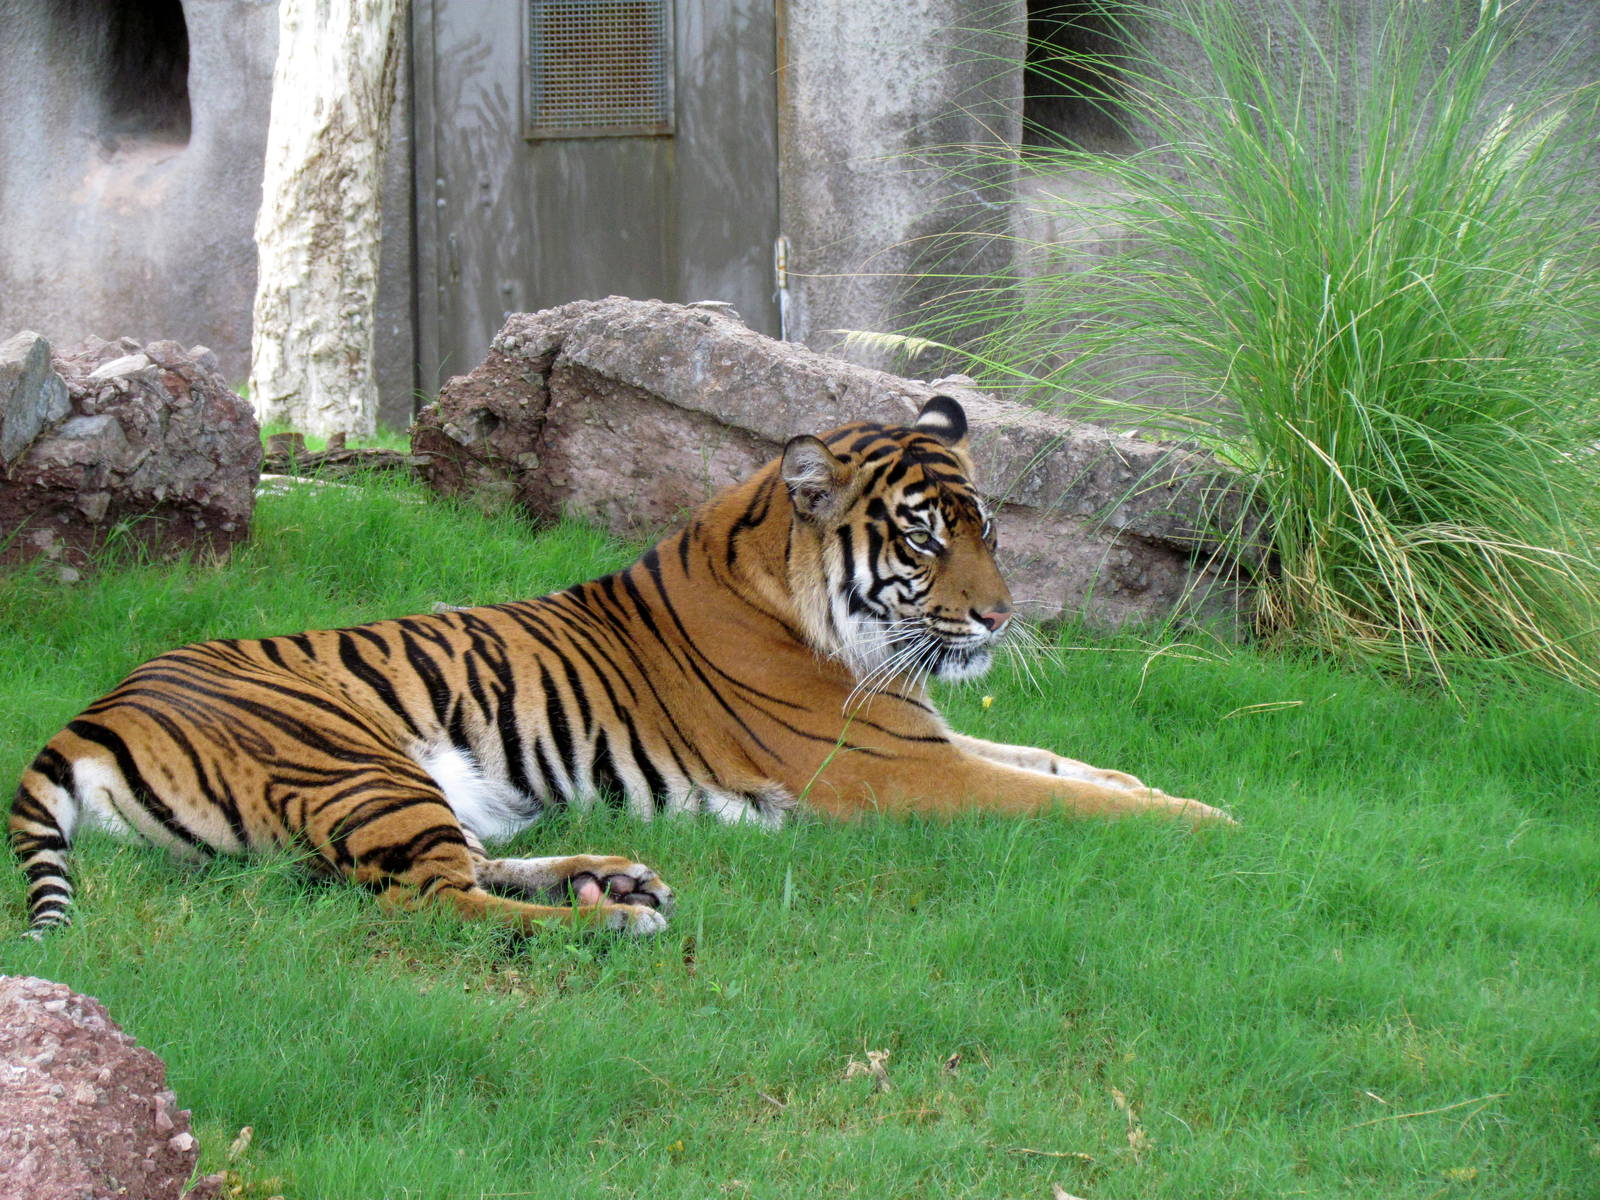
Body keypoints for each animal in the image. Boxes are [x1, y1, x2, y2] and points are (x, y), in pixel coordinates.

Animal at [9, 395, 1230, 938]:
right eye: (927, 538)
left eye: (991, 531)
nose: (1000, 617)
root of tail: (91, 710)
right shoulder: (902, 770)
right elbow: (1066, 798)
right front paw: (1216, 827)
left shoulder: (930, 733)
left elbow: (1073, 767)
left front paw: (1189, 797)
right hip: (357, 764)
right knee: (433, 906)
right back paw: (609, 920)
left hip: (421, 792)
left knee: (451, 870)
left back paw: (613, 877)